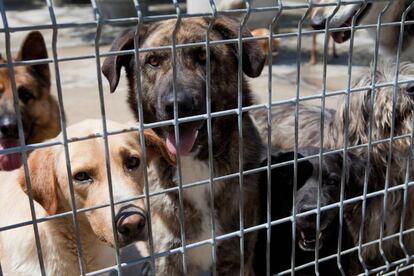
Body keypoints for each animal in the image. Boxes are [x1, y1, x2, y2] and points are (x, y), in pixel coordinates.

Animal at [102, 16, 266, 274]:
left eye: (203, 56)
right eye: (153, 61)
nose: (177, 105)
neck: (195, 163)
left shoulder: (235, 257)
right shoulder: (168, 259)